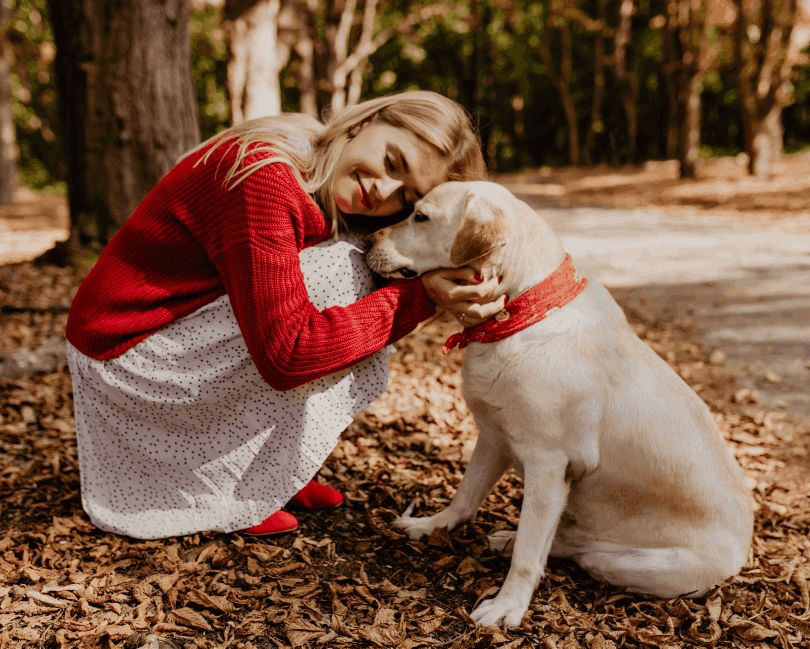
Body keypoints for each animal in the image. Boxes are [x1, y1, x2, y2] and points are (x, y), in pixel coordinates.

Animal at [362, 181, 756, 628]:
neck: (522, 312)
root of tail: (742, 557)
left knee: (575, 550)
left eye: (421, 217)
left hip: (626, 560)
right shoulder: (493, 437)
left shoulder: (549, 464)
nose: (364, 241)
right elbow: (465, 495)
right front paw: (433, 525)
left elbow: (528, 554)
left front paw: (508, 605)